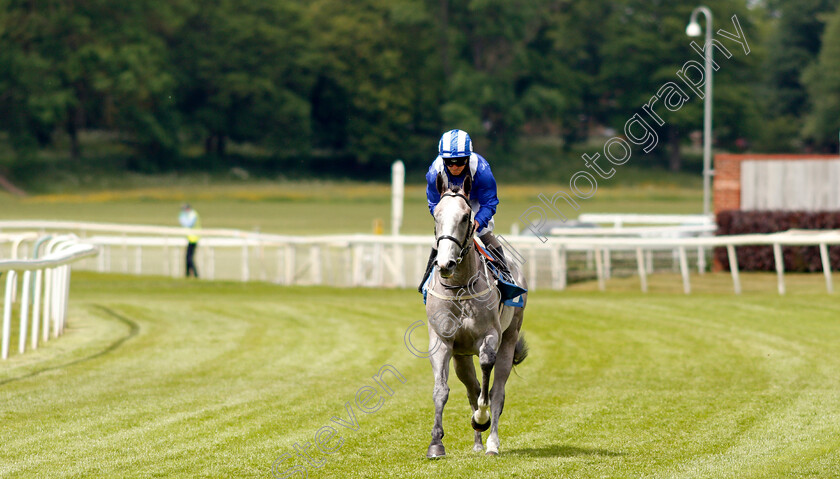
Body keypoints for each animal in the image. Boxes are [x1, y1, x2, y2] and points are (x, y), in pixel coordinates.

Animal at [424, 172, 528, 458]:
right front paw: (436, 443)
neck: (460, 287)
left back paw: (491, 442)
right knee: (472, 389)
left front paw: (482, 418)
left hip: (509, 338)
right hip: (461, 357)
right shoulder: (442, 341)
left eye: (465, 216)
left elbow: (487, 377)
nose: (445, 264)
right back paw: (478, 443)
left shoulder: (490, 336)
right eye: (436, 215)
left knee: (497, 391)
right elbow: (441, 390)